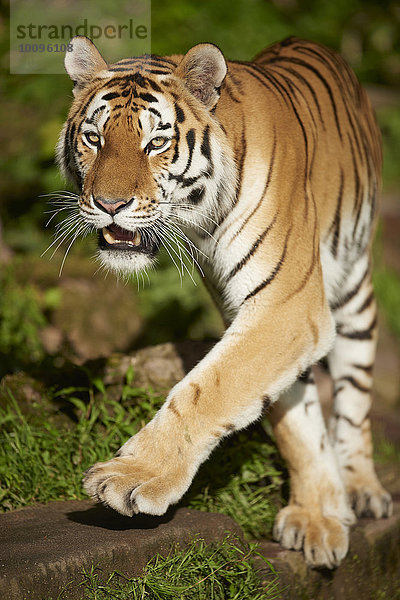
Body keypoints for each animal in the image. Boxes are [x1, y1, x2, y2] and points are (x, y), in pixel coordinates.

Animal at [54, 35, 392, 568]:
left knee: (355, 396)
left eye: (156, 143)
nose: (109, 205)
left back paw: (363, 487)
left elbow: (207, 389)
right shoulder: (255, 310)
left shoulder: (287, 307)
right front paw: (317, 517)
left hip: (355, 284)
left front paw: (131, 478)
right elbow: (294, 422)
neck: (202, 222)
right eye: (93, 139)